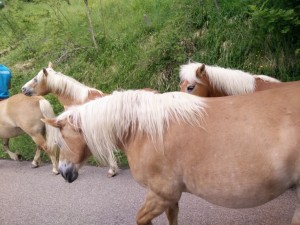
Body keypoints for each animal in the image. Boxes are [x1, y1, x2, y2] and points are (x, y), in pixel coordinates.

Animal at [44, 83, 300, 225]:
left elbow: (142, 219)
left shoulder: (161, 194)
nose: (65, 172)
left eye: (61, 140)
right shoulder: (170, 198)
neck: (143, 129)